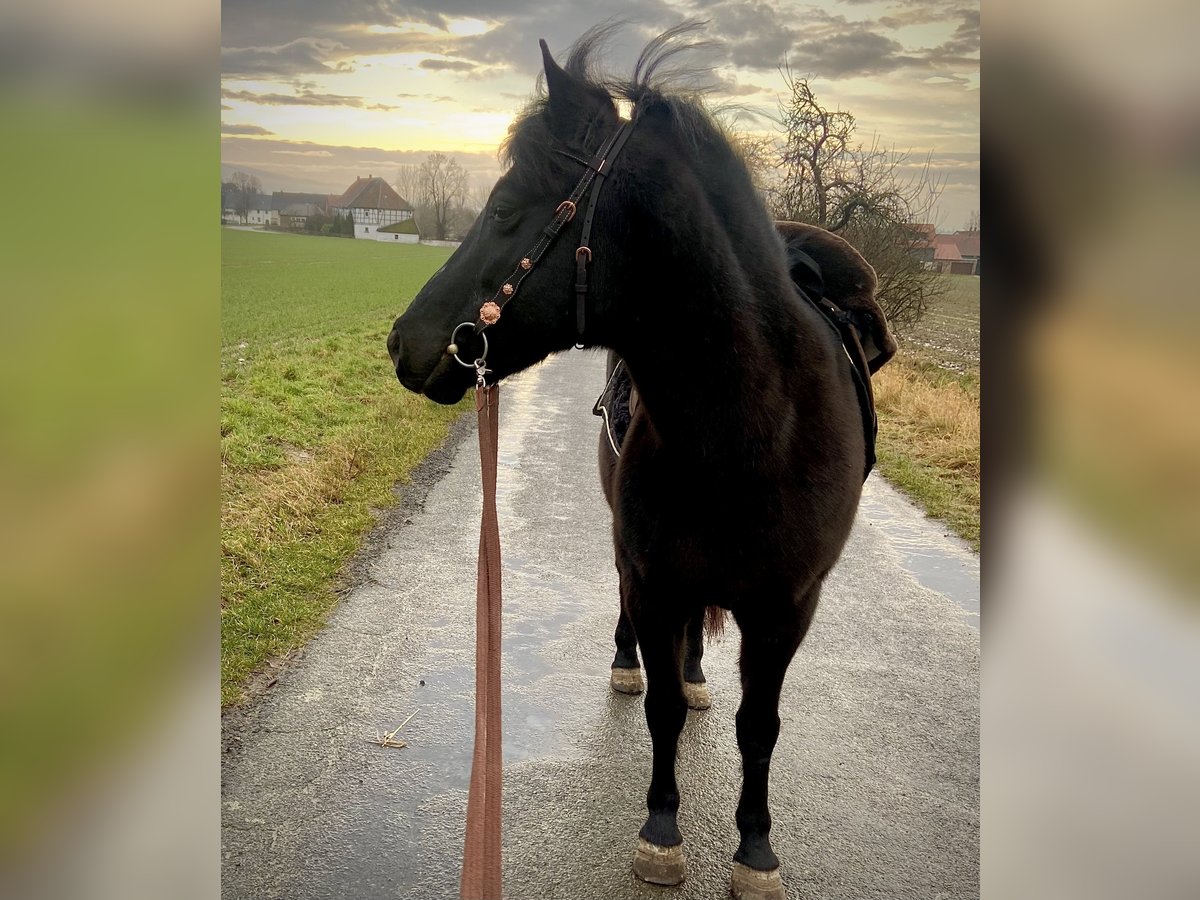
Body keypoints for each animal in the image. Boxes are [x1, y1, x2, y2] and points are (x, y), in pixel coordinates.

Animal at [386, 24, 892, 897]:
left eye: (505, 210)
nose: (401, 343)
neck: (750, 431)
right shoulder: (656, 579)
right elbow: (658, 708)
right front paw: (662, 831)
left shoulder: (787, 607)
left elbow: (759, 726)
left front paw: (755, 848)